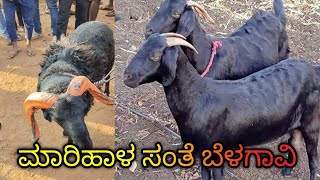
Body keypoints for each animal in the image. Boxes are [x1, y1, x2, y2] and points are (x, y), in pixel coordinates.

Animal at [124, 33, 320, 179]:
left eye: (155, 56)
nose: (127, 77)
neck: (197, 97)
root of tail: (313, 69)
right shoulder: (201, 150)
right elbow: (205, 175)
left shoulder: (216, 150)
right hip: (296, 124)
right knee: (295, 142)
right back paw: (286, 171)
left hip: (312, 124)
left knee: (313, 159)